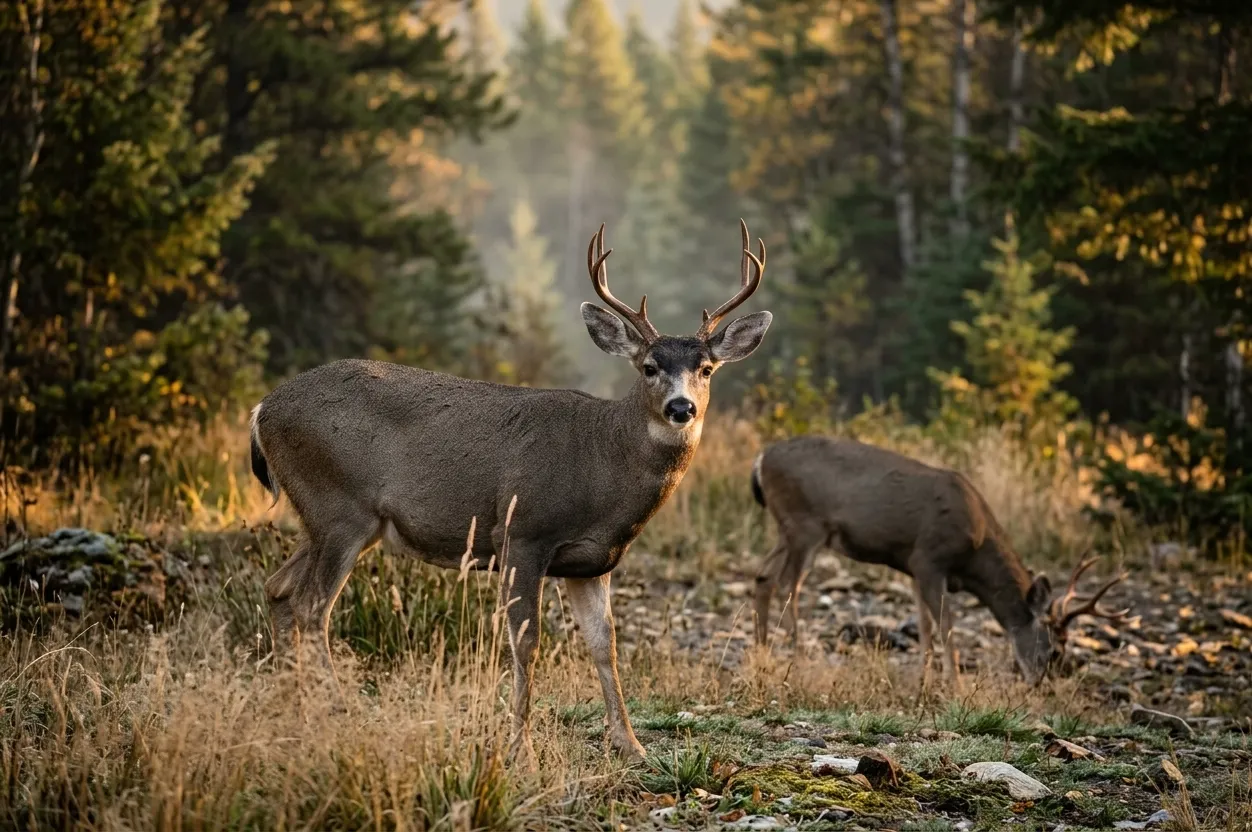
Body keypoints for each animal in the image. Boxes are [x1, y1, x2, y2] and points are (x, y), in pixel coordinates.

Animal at [249, 221, 772, 765]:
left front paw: (631, 745)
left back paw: (294, 711)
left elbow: (604, 644)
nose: (681, 407)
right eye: (649, 366)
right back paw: (334, 713)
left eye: (707, 369)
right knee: (312, 607)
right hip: (339, 508)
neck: (601, 462)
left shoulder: (592, 562)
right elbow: (527, 641)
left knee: (279, 588)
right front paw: (521, 745)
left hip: (327, 518)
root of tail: (262, 409)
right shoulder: (522, 532)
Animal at [749, 436, 1128, 686]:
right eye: (1055, 649)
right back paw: (797, 659)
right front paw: (954, 685)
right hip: (805, 524)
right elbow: (946, 624)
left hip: (788, 528)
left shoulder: (913, 567)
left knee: (763, 577)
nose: (1039, 683)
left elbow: (924, 625)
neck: (975, 554)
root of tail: (761, 458)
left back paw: (763, 653)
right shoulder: (930, 559)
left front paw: (925, 681)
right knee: (787, 584)